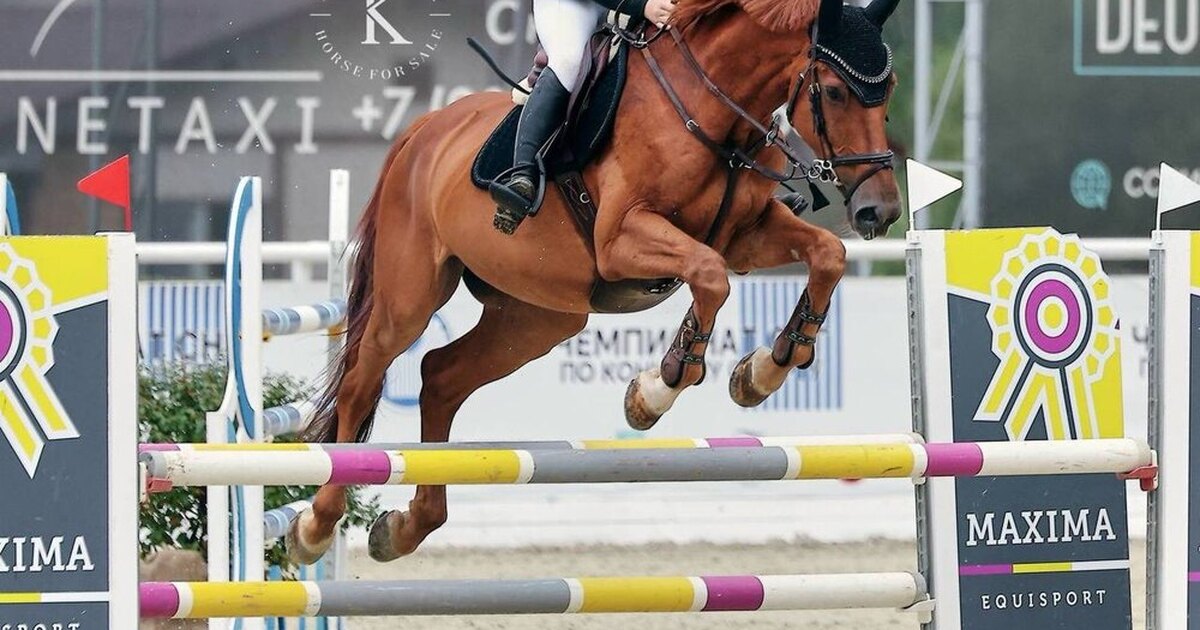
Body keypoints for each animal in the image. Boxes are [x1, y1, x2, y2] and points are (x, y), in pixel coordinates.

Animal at [287, 0, 904, 565]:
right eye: (836, 92)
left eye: (890, 88)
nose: (881, 211)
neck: (711, 114)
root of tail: (422, 130)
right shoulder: (622, 240)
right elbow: (709, 277)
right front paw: (656, 392)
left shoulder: (747, 235)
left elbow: (826, 255)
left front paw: (763, 372)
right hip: (411, 297)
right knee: (362, 380)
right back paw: (314, 526)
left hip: (537, 317)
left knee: (440, 377)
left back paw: (406, 527)